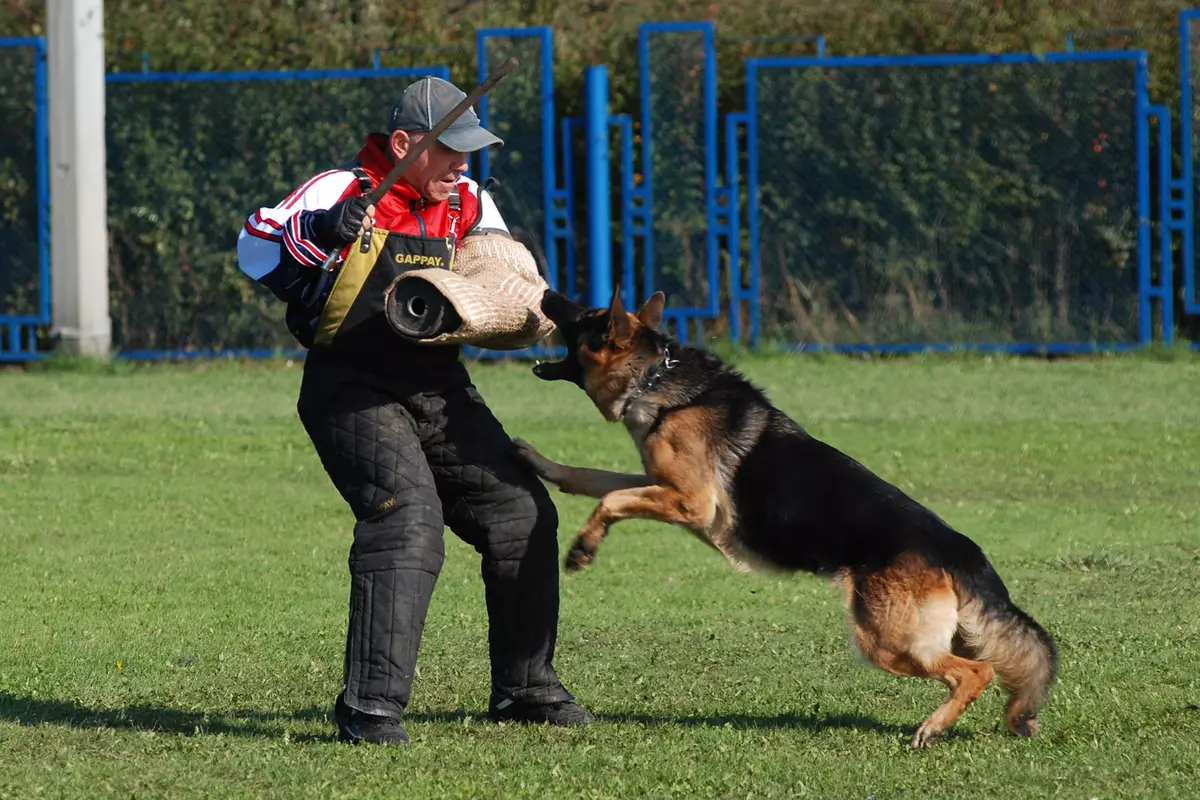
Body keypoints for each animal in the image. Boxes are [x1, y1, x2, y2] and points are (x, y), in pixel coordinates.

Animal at [511, 289, 1056, 753]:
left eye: (586, 316)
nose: (547, 292)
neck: (655, 378)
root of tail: (961, 551)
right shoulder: (660, 484)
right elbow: (596, 479)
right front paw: (538, 461)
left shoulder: (692, 502)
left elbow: (612, 498)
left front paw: (583, 547)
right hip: (944, 633)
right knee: (990, 664)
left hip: (885, 640)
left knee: (975, 673)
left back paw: (931, 727)